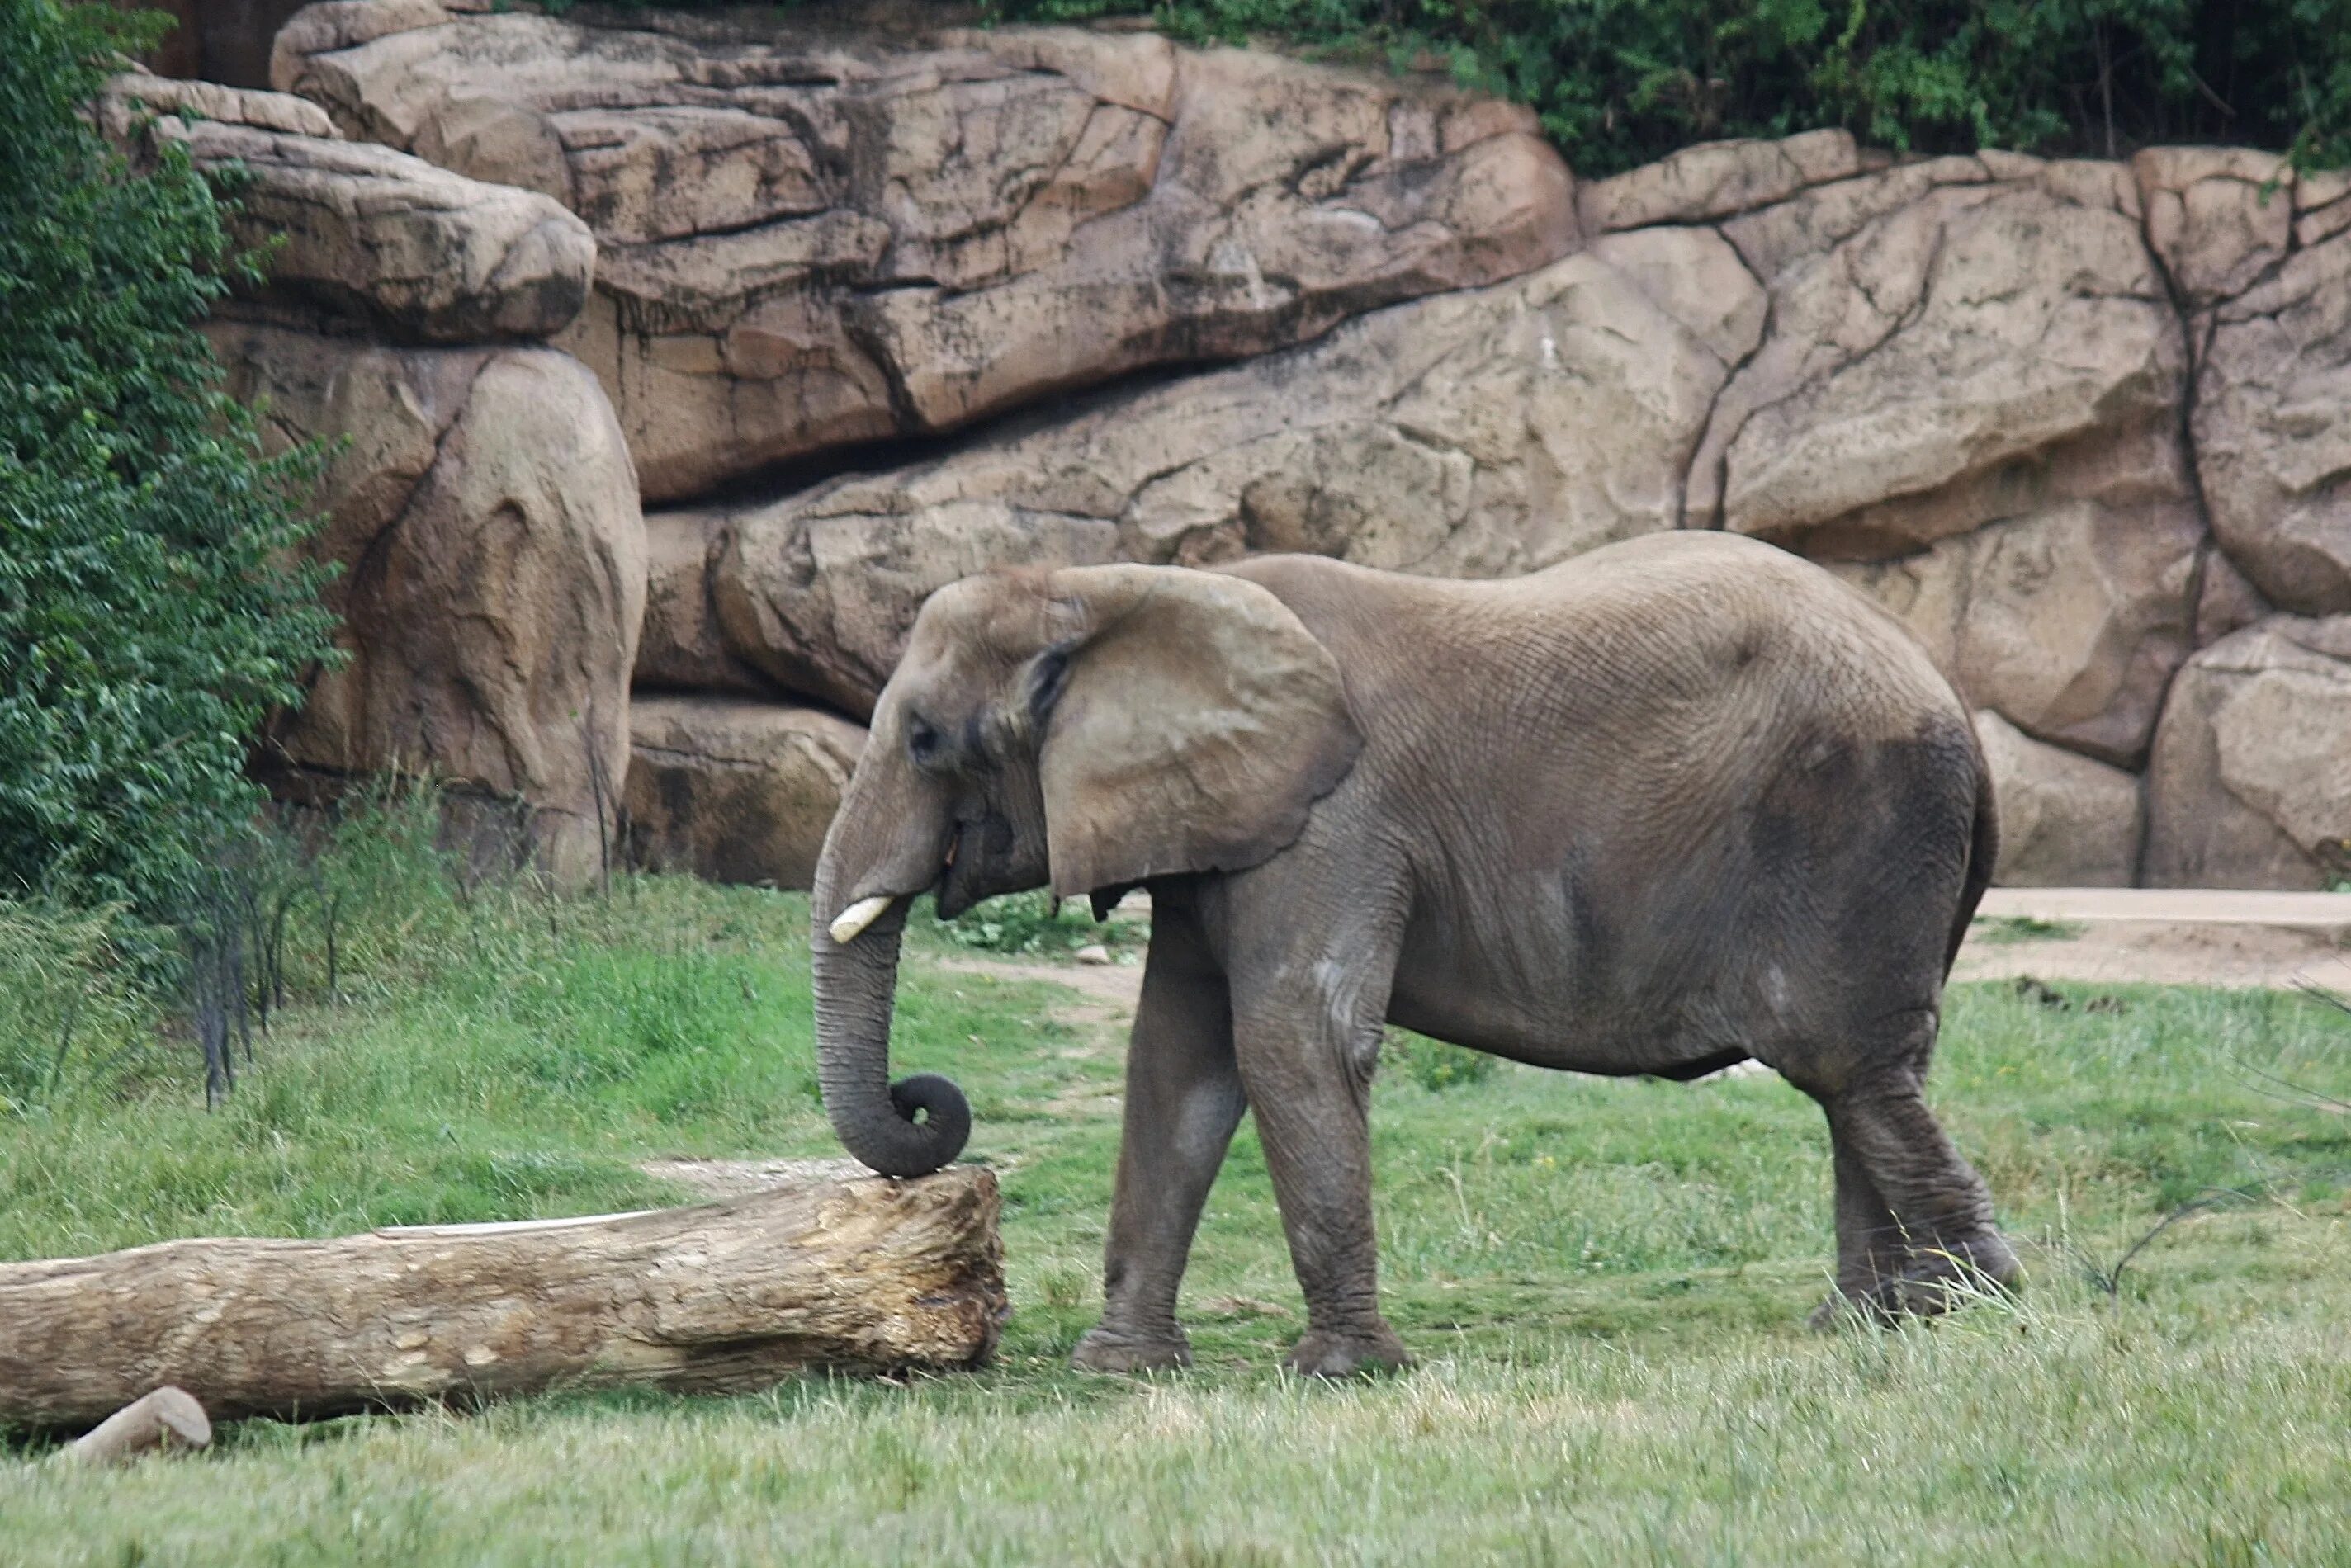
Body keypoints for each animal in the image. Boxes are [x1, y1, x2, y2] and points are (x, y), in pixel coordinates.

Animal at [813, 533, 2022, 1381]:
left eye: (923, 737)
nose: (923, 1099)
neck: (1121, 586)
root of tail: (1950, 691)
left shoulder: (1335, 818)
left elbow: (1292, 1035)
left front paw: (1339, 1373)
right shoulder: (1223, 832)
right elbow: (1176, 1060)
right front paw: (1121, 1369)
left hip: (1853, 815)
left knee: (1843, 1061)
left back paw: (1987, 1306)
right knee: (1868, 1073)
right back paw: (1869, 1323)